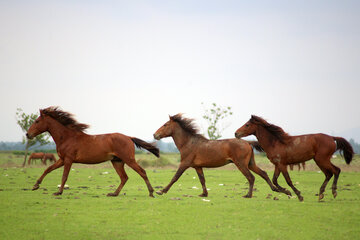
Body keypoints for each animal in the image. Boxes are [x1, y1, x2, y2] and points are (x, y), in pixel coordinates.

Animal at [26, 107, 159, 197]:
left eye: (37, 121)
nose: (28, 134)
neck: (67, 137)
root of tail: (129, 137)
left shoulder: (68, 160)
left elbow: (64, 176)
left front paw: (58, 192)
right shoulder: (62, 159)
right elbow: (48, 169)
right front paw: (35, 185)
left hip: (128, 159)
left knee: (142, 172)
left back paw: (151, 192)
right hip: (117, 162)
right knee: (124, 177)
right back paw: (113, 193)